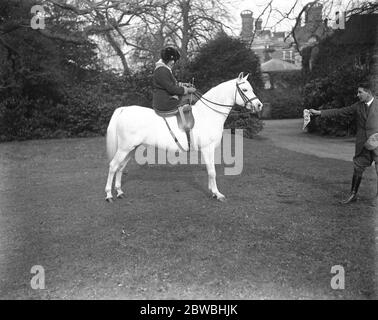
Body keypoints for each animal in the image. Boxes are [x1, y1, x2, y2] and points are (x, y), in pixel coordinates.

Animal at [104, 73, 262, 201]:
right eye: (245, 90)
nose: (259, 105)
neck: (208, 115)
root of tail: (124, 109)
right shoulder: (208, 148)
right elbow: (212, 172)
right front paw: (217, 194)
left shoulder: (208, 150)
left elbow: (210, 170)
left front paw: (212, 191)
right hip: (125, 148)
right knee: (113, 166)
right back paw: (109, 195)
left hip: (131, 148)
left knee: (120, 167)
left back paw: (119, 192)